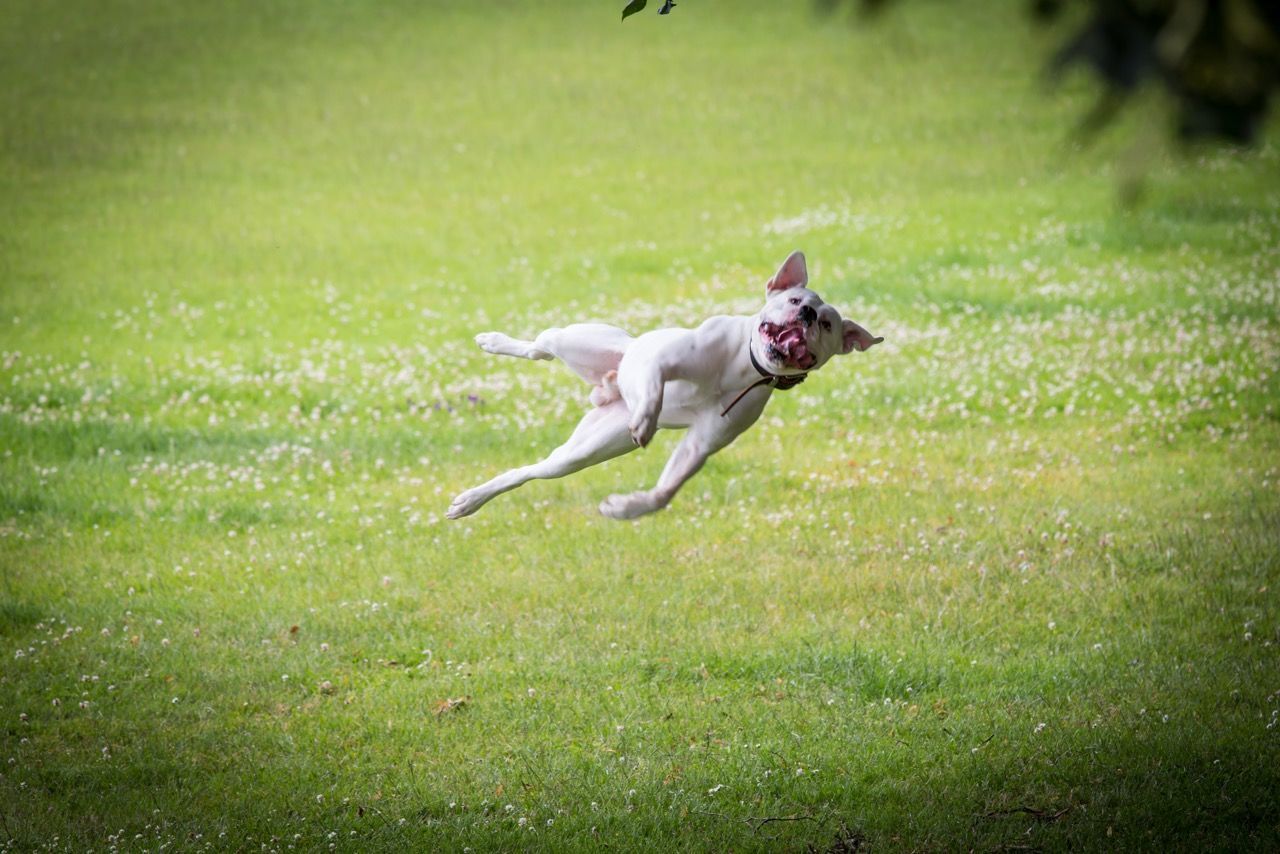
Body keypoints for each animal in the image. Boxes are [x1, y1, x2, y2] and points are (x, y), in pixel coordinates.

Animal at [448, 252, 880, 522]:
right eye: (794, 300)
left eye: (827, 323)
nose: (806, 313)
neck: (744, 363)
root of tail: (608, 387)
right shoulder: (663, 360)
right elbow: (656, 384)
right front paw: (646, 421)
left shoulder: (702, 442)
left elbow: (666, 492)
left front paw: (626, 508)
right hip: (577, 341)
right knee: (539, 348)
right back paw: (494, 342)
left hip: (583, 452)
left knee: (530, 471)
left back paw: (471, 500)